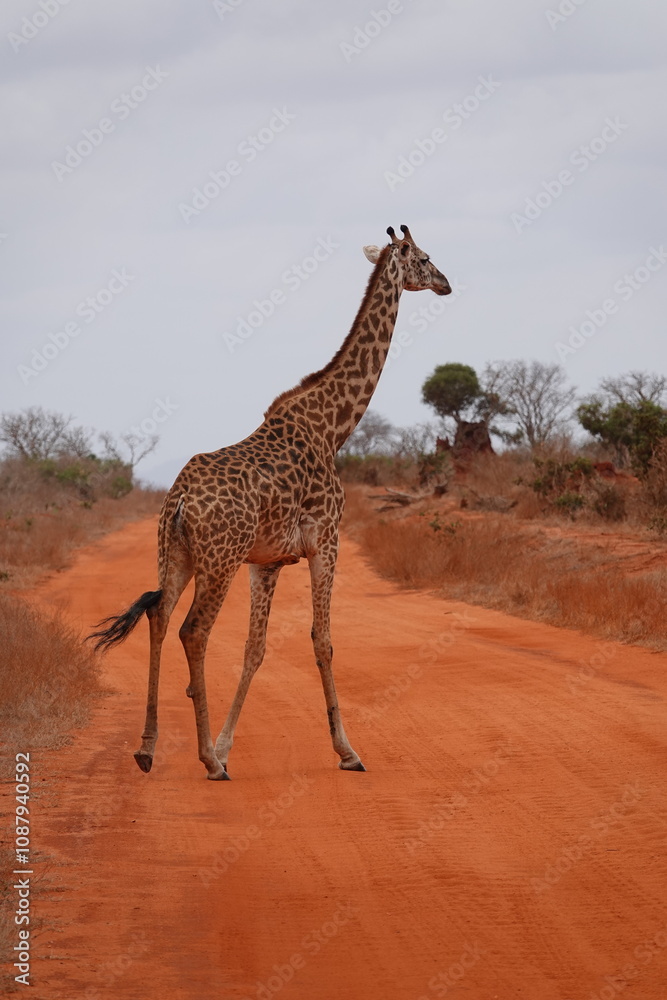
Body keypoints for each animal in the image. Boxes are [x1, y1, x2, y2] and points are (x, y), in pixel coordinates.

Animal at [89, 225, 451, 780]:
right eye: (426, 258)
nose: (447, 283)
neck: (334, 428)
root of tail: (179, 500)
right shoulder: (326, 541)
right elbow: (322, 640)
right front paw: (347, 751)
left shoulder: (268, 561)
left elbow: (254, 650)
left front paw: (226, 743)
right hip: (220, 560)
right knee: (193, 631)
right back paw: (206, 761)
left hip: (176, 554)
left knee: (159, 617)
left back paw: (149, 749)